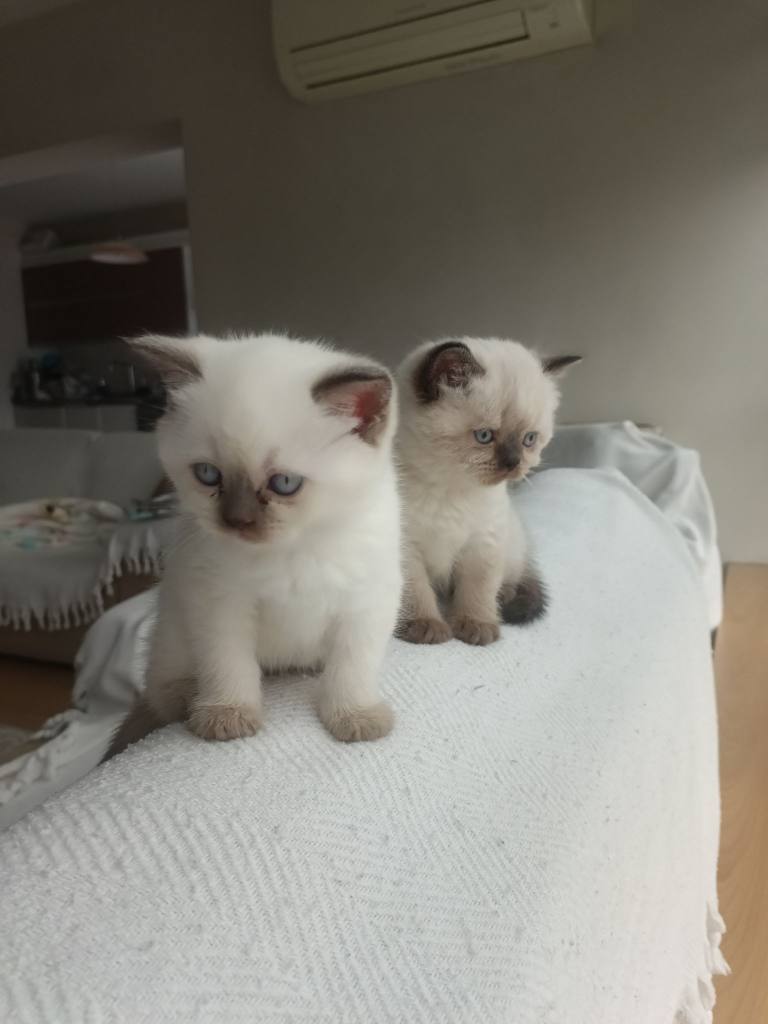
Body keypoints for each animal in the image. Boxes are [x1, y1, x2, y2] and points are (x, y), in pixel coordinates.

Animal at [108, 332, 401, 756]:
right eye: (208, 474)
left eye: (284, 483)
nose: (237, 522)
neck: (294, 548)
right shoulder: (219, 602)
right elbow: (228, 663)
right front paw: (226, 715)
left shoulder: (366, 602)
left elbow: (351, 666)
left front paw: (355, 716)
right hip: (173, 628)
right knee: (162, 692)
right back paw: (188, 698)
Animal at [395, 337, 580, 646]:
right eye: (484, 436)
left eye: (529, 439)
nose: (513, 463)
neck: (452, 488)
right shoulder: (403, 546)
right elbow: (416, 591)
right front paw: (425, 626)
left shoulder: (484, 542)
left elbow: (478, 587)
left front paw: (477, 626)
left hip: (511, 543)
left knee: (510, 578)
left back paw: (503, 598)